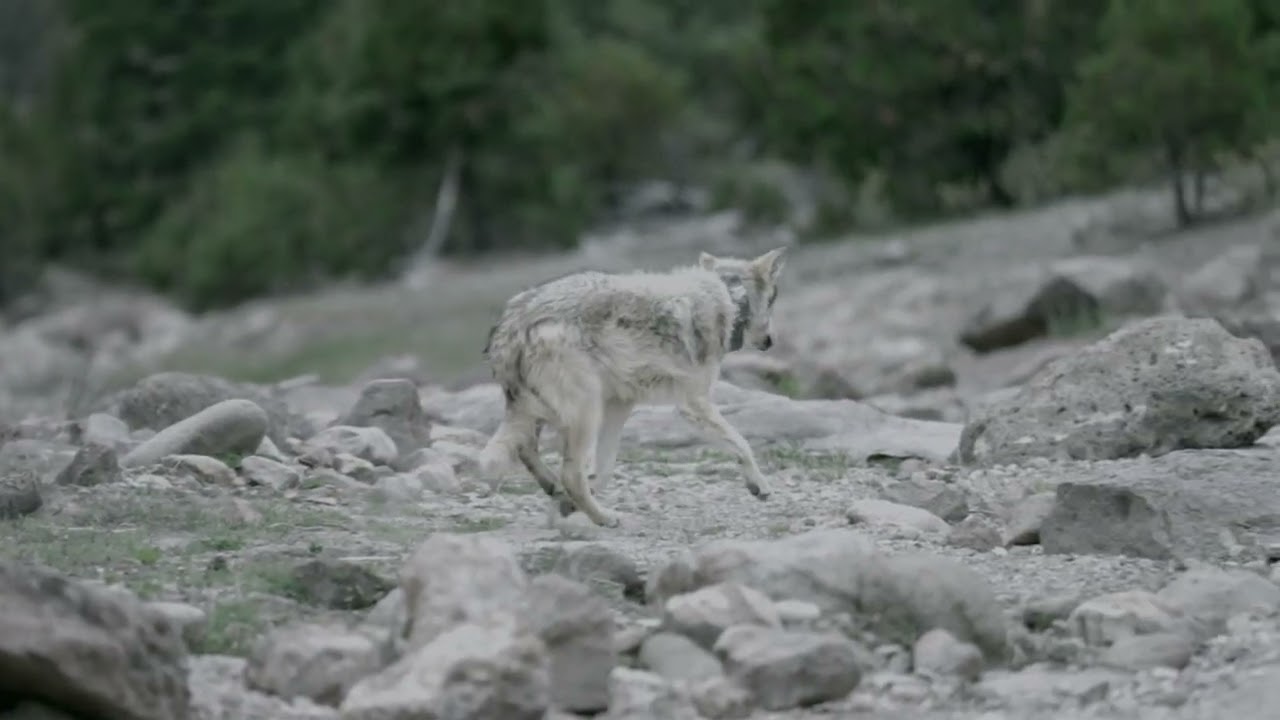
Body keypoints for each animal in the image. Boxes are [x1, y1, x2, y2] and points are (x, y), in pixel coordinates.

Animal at [476, 247, 789, 528]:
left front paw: (566, 508)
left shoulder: (620, 405)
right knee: (570, 473)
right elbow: (742, 443)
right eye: (773, 299)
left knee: (527, 450)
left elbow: (604, 469)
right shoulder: (694, 403)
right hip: (584, 412)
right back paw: (604, 518)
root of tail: (512, 322)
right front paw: (760, 485)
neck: (728, 297)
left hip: (541, 412)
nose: (770, 341)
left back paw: (560, 494)